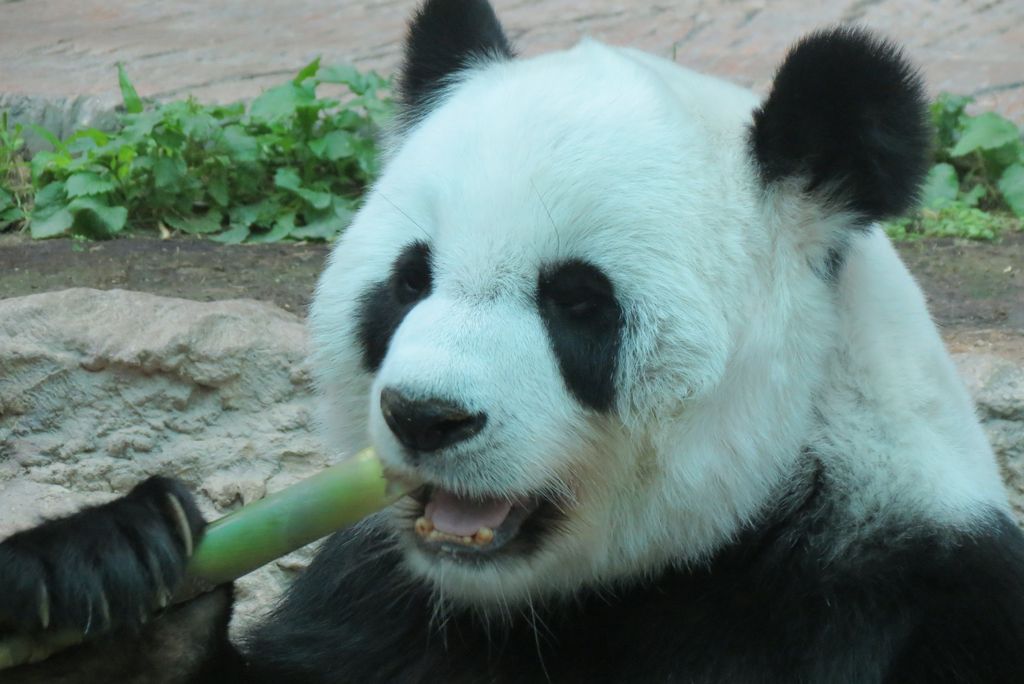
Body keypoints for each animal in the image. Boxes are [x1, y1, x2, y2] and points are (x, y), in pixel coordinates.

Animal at [2, 0, 1024, 679]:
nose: (426, 417)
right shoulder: (384, 600)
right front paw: (106, 587)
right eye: (408, 282)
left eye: (578, 302)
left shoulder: (893, 600)